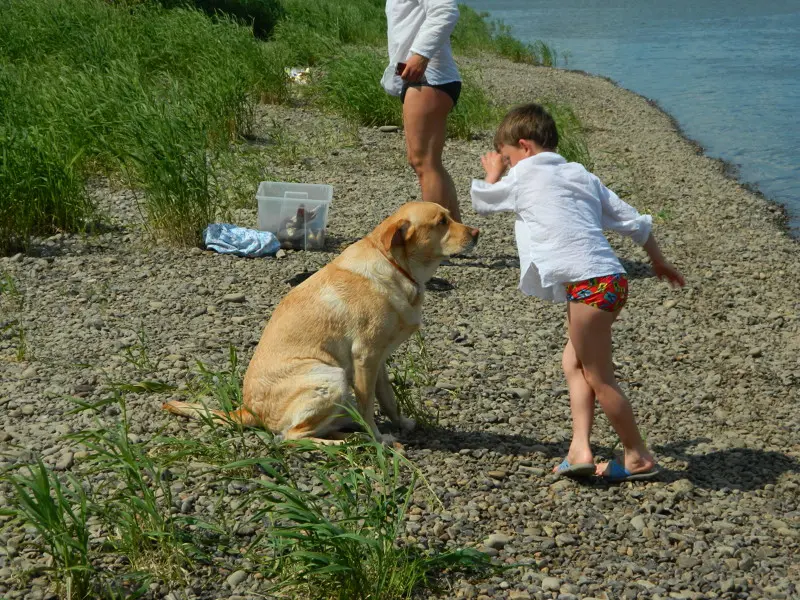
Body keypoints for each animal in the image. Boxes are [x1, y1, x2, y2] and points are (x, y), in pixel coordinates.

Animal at [159, 202, 478, 440]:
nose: (478, 232)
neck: (396, 266)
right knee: (291, 437)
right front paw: (378, 439)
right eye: (442, 222)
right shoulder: (365, 357)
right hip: (331, 376)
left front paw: (401, 424)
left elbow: (387, 399)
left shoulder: (379, 361)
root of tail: (247, 411)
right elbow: (368, 406)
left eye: (450, 217)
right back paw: (344, 442)